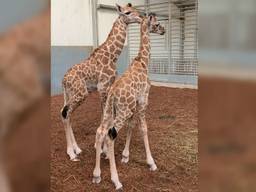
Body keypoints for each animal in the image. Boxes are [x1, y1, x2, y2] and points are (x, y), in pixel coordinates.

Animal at [60, 3, 143, 161]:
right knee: (66, 113)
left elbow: (104, 115)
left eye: (135, 10)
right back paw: (71, 153)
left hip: (70, 94)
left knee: (66, 113)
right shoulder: (103, 87)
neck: (113, 55)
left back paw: (77, 149)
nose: (141, 17)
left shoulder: (107, 88)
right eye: (128, 12)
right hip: (81, 93)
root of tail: (63, 80)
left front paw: (100, 147)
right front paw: (104, 150)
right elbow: (107, 117)